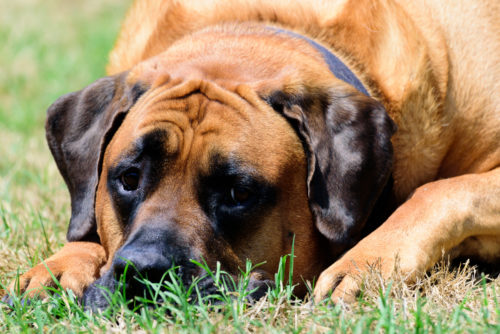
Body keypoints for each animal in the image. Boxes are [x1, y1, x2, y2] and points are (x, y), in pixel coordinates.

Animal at [8, 0, 500, 308]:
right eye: (128, 179)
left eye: (238, 192)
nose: (145, 271)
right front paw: (60, 265)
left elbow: (439, 191)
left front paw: (368, 262)